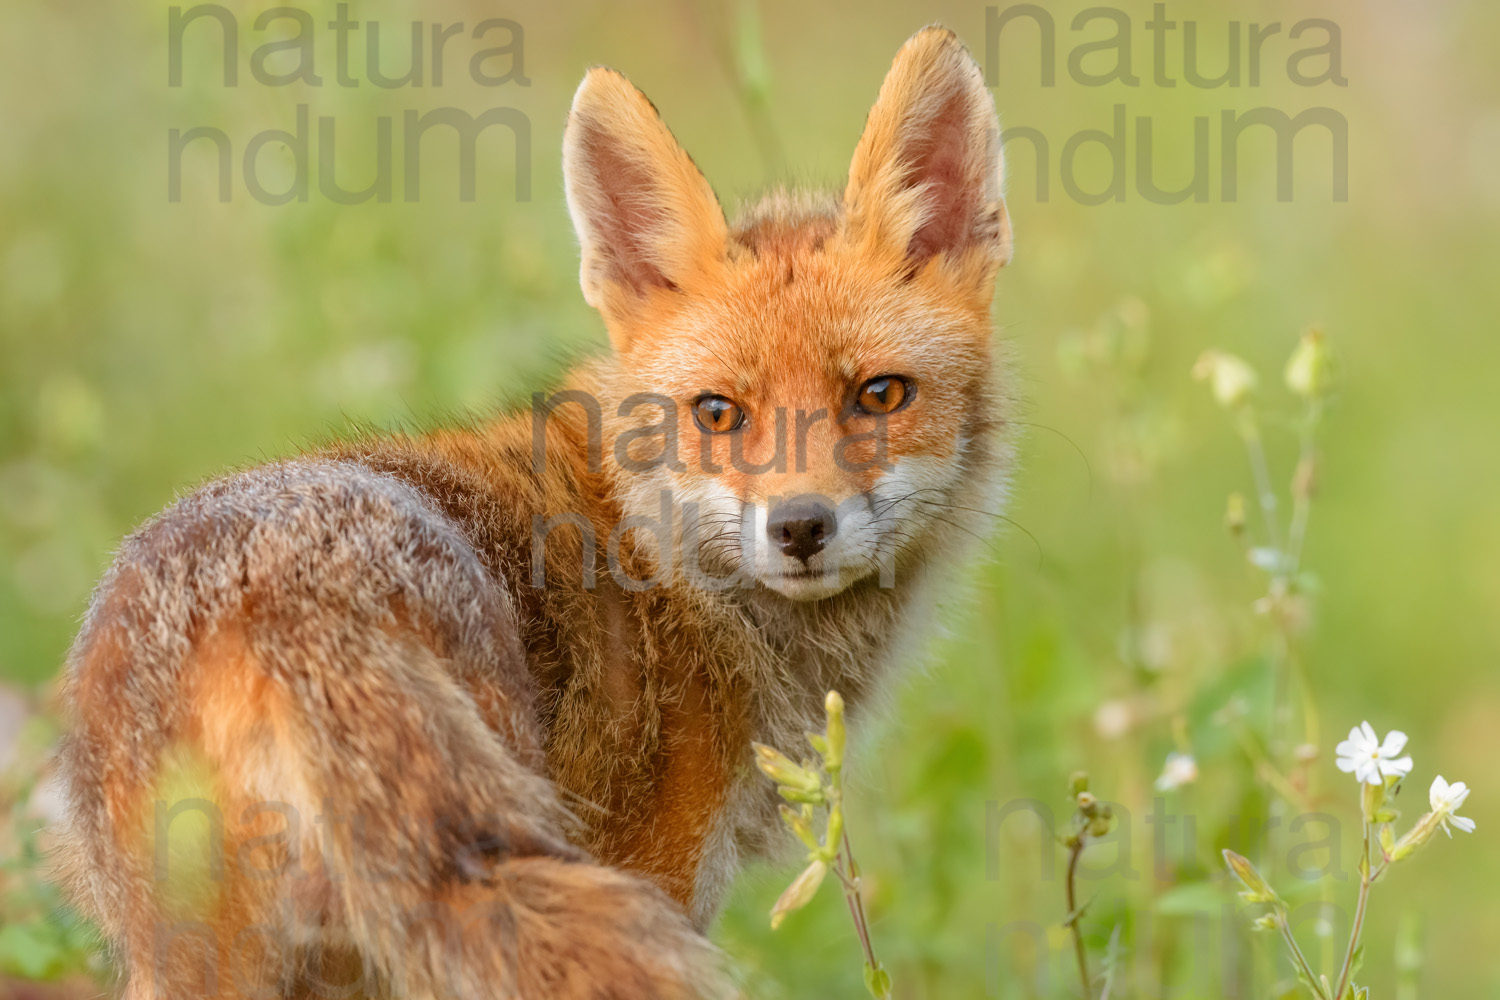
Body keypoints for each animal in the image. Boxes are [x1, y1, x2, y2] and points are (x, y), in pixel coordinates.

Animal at [55, 23, 1020, 1000]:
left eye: (880, 395)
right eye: (718, 413)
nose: (799, 529)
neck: (670, 572)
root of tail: (276, 608)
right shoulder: (660, 873)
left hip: (204, 961)